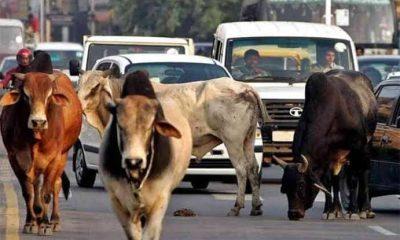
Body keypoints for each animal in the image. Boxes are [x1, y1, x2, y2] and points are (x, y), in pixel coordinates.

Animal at [0, 71, 82, 236]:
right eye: (26, 96)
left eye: (49, 96)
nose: (38, 122)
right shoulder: (15, 159)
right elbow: (28, 193)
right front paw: (31, 222)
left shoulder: (54, 159)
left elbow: (46, 194)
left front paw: (45, 225)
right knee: (36, 184)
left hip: (63, 156)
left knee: (56, 185)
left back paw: (54, 221)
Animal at [274, 70, 376, 221]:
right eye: (284, 188)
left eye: (301, 185)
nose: (293, 214)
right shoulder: (326, 156)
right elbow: (327, 182)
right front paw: (329, 211)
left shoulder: (356, 148)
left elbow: (353, 179)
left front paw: (353, 212)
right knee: (336, 179)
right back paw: (337, 210)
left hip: (366, 147)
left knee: (364, 173)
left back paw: (365, 210)